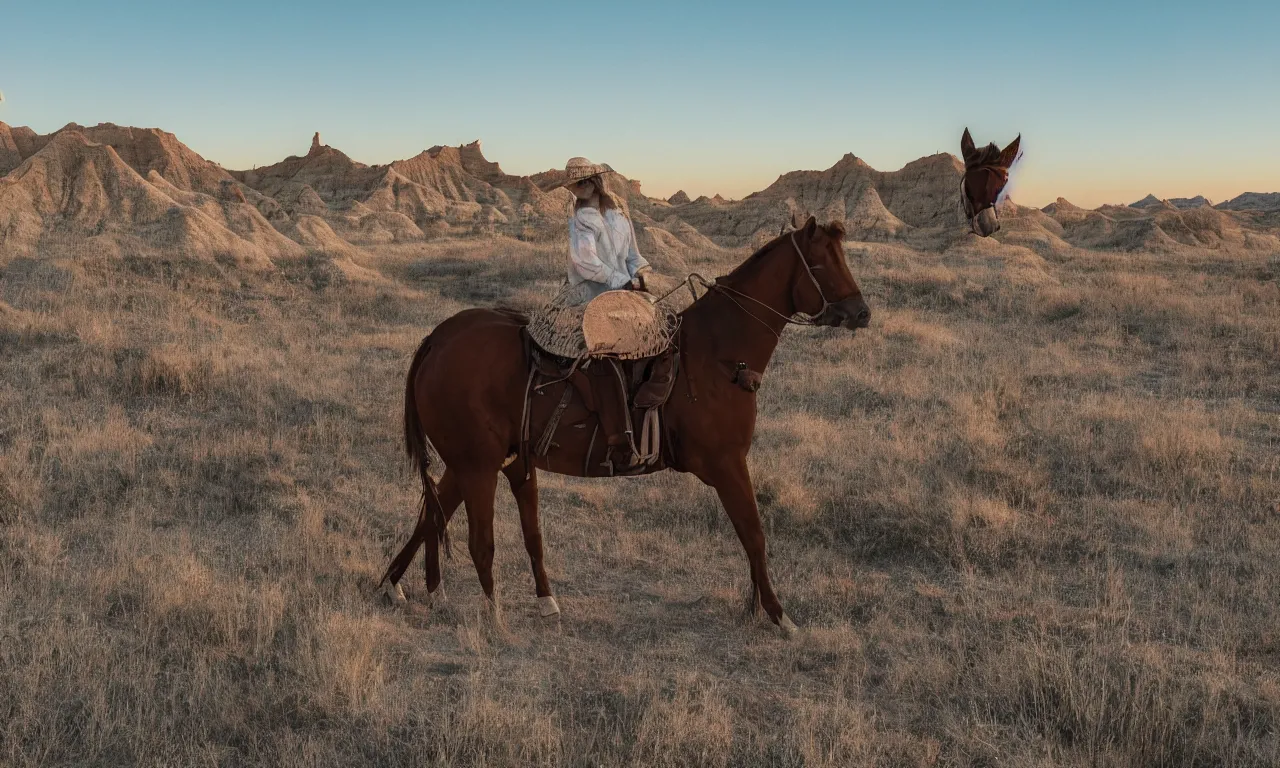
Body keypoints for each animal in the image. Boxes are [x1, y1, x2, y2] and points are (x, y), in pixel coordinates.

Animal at [376, 215, 870, 629]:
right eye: (821, 263)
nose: (861, 313)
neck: (717, 354)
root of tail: (438, 338)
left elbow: (751, 536)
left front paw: (758, 608)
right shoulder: (728, 465)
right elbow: (755, 534)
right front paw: (778, 614)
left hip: (472, 462)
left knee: (432, 513)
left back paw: (404, 586)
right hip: (477, 465)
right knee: (472, 536)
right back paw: (487, 614)